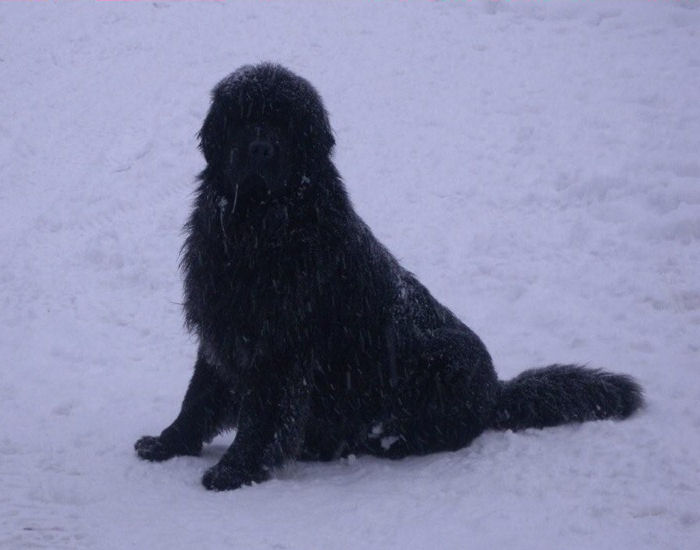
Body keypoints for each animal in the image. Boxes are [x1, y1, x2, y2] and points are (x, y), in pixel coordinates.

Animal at [134, 63, 644, 492]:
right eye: (244, 119)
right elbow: (198, 398)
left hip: (441, 361)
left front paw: (237, 469)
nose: (261, 148)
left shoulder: (279, 347)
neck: (259, 225)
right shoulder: (222, 328)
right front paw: (168, 443)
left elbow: (261, 418)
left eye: (284, 124)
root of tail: (495, 392)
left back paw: (375, 442)